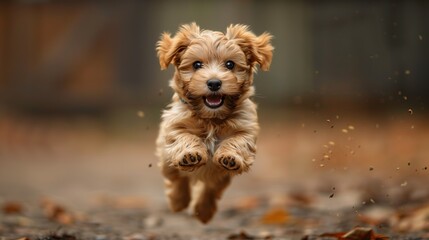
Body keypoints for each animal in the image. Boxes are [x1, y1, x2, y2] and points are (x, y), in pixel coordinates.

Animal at [155, 23, 272, 223]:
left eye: (230, 64)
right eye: (197, 64)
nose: (214, 83)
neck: (212, 117)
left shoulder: (246, 127)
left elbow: (238, 140)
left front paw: (230, 156)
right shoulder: (174, 125)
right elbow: (184, 136)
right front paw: (190, 154)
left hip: (220, 178)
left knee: (211, 187)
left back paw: (203, 211)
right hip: (166, 161)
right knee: (177, 178)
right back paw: (178, 201)